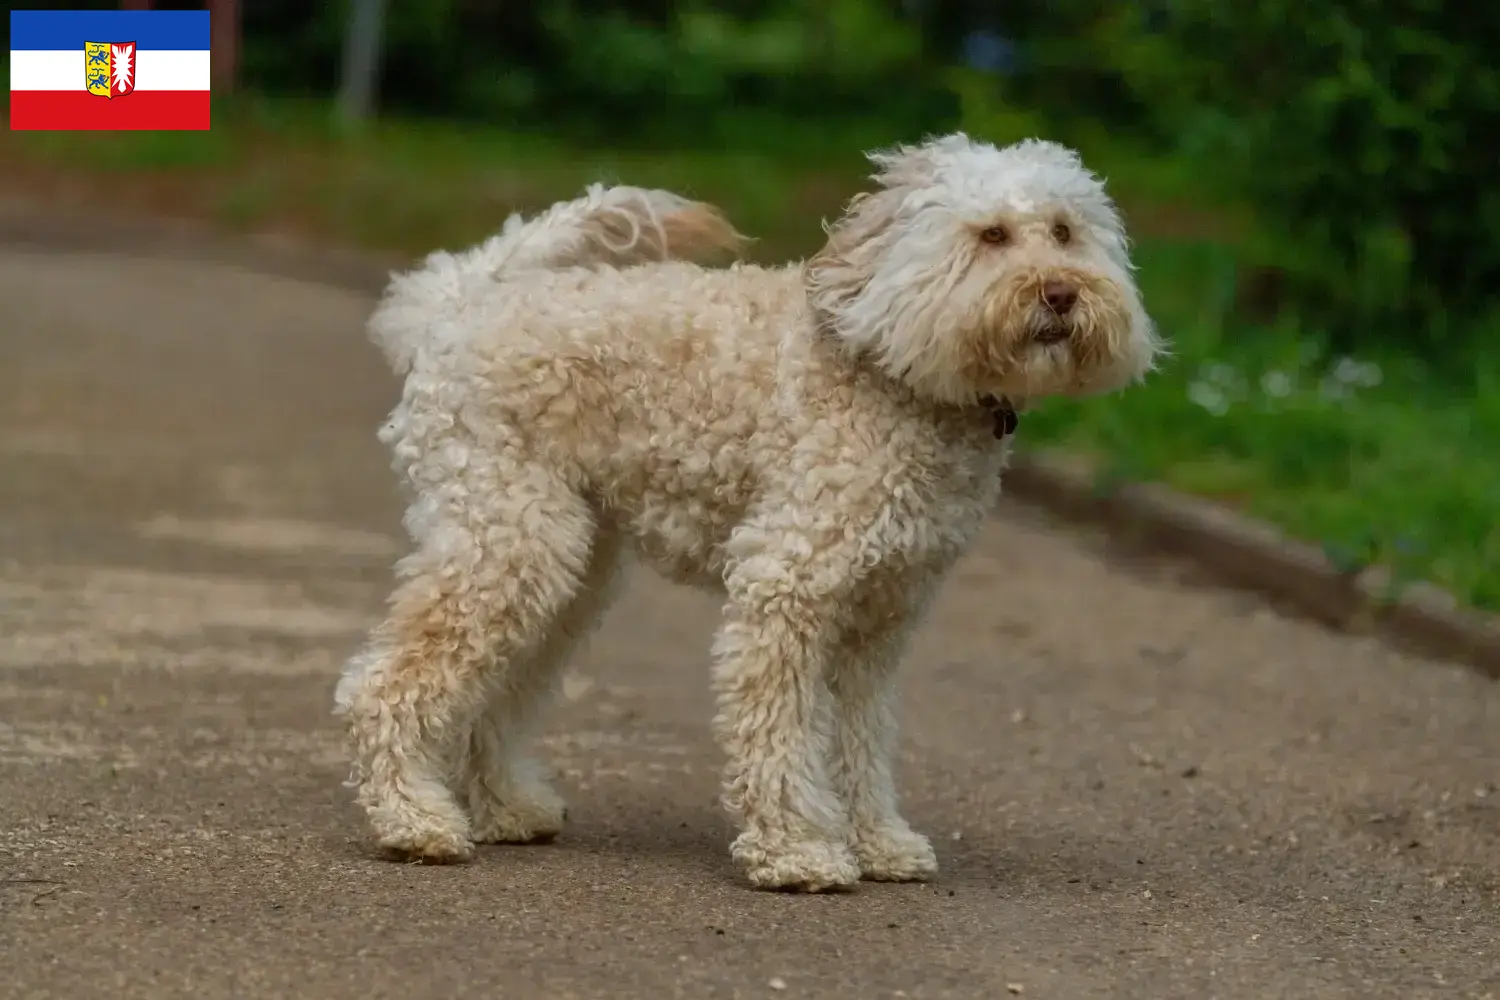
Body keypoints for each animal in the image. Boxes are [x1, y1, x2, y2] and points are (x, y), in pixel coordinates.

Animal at [337, 132, 1158, 893]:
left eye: (1064, 231)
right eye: (992, 235)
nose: (1061, 293)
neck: (888, 361)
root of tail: (460, 304)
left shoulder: (881, 620)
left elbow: (861, 741)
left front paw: (879, 842)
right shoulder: (788, 584)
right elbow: (780, 733)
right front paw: (797, 852)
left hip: (567, 571)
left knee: (498, 690)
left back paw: (506, 807)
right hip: (508, 544)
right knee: (385, 683)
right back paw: (414, 820)